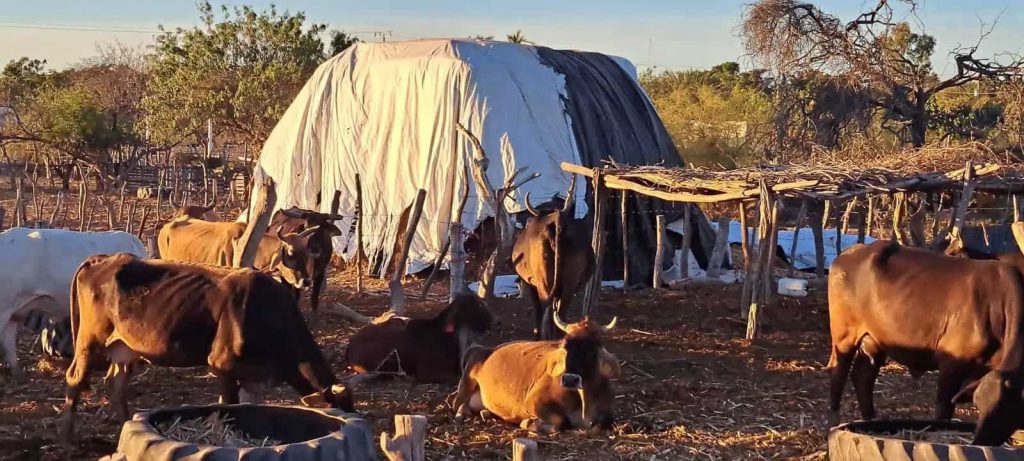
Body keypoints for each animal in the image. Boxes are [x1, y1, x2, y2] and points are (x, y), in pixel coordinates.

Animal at [60, 254, 356, 444]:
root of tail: (102, 258)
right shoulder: (222, 363)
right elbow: (229, 405)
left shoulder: (255, 376)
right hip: (90, 338)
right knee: (75, 377)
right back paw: (67, 439)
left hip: (125, 345)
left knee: (116, 383)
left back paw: (124, 425)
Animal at [344, 292, 495, 383]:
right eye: (479, 306)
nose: (495, 321)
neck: (446, 335)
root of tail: (350, 344)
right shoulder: (426, 372)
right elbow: (458, 377)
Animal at [452, 311, 618, 434]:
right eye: (565, 347)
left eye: (592, 348)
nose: (570, 379)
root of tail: (486, 349)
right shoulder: (533, 402)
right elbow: (562, 422)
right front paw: (528, 422)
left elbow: (605, 423)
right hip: (466, 383)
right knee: (458, 403)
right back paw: (462, 414)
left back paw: (485, 413)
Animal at [516, 175, 598, 338]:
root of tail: (557, 223)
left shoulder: (530, 283)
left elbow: (537, 310)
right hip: (569, 282)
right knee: (560, 311)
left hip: (543, 282)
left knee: (546, 308)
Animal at [827, 239, 1024, 444]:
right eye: (980, 405)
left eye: (1007, 411)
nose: (979, 441)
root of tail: (851, 252)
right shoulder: (951, 365)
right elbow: (943, 411)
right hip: (844, 335)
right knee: (838, 372)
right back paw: (833, 421)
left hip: (874, 339)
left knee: (863, 375)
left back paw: (869, 419)